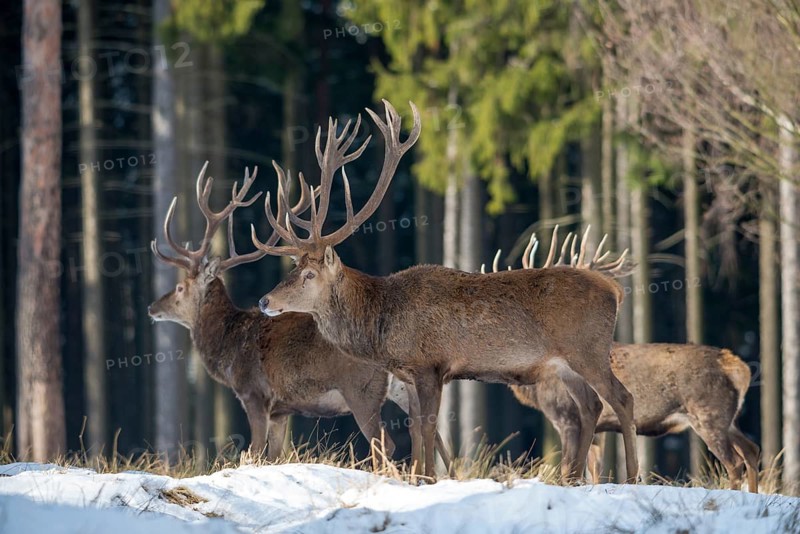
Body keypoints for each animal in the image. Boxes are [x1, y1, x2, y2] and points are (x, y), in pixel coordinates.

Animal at [148, 162, 450, 465]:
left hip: (361, 390)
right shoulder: (281, 412)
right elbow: (273, 456)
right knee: (431, 434)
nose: (152, 307)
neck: (228, 349)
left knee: (386, 443)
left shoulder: (254, 394)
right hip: (403, 387)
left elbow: (254, 451)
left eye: (180, 287)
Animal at [249, 100, 640, 482]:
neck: (381, 324)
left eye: (309, 274)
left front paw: (428, 479)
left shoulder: (431, 365)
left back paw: (633, 476)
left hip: (588, 349)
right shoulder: (407, 374)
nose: (264, 300)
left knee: (622, 397)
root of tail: (615, 290)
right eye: (293, 267)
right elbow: (417, 428)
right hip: (566, 365)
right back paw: (573, 480)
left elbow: (428, 426)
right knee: (590, 407)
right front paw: (418, 478)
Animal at [494, 227, 760, 492]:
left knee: (734, 462)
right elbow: (595, 468)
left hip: (707, 413)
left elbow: (568, 467)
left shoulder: (565, 416)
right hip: (728, 417)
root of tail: (739, 367)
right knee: (751, 449)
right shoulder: (599, 430)